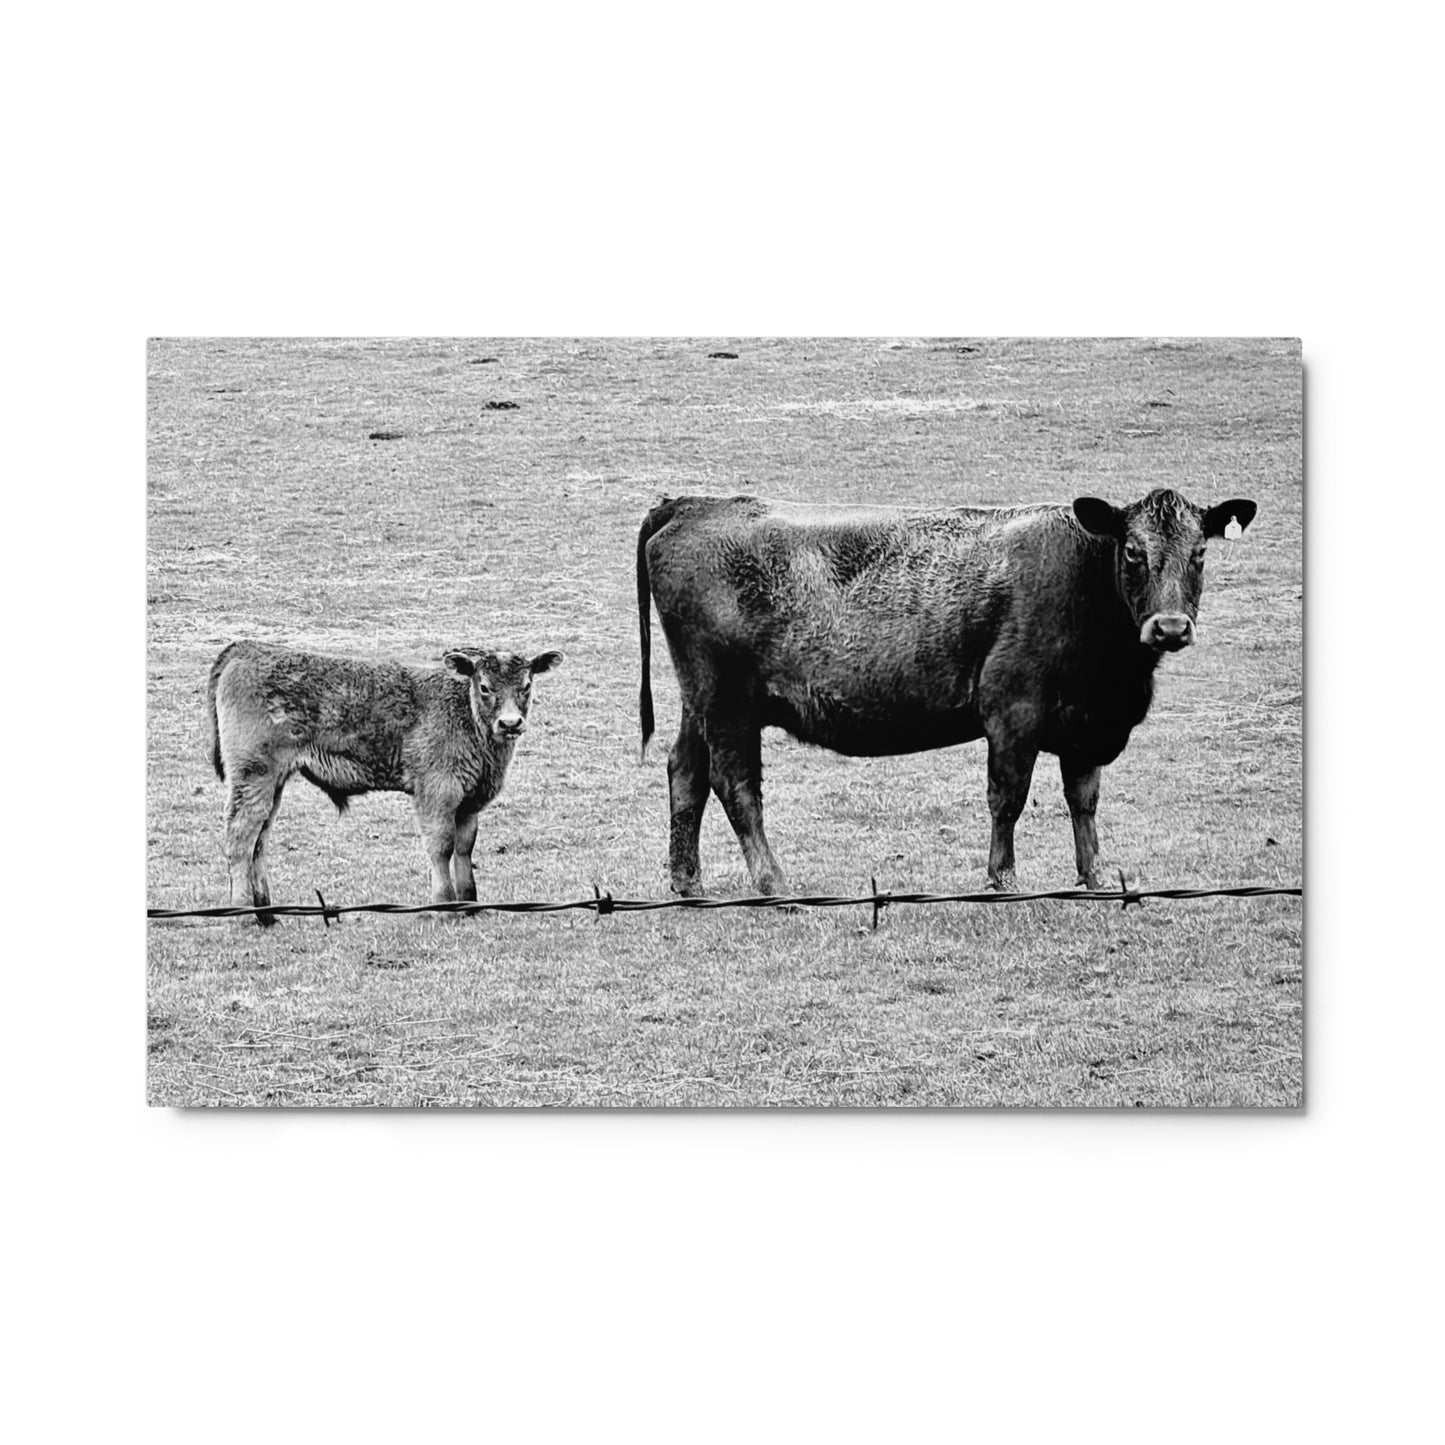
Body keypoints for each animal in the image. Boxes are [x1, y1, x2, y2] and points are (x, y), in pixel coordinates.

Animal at [207, 641, 563, 923]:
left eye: (526, 685)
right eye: (485, 686)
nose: (510, 723)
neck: (466, 715)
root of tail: (248, 648)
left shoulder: (469, 801)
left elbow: (464, 847)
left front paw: (470, 904)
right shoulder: (437, 792)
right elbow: (441, 846)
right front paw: (444, 906)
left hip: (272, 782)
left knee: (260, 839)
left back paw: (266, 912)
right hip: (254, 774)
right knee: (241, 836)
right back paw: (244, 913)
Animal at [636, 488, 1256, 897]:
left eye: (1200, 552)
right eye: (1132, 551)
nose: (1170, 628)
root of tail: (693, 503)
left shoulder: (1085, 727)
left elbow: (1083, 800)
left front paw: (1095, 877)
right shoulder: (1012, 710)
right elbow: (1007, 797)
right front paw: (1003, 877)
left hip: (701, 703)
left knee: (685, 773)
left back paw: (687, 882)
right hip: (728, 703)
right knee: (735, 785)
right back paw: (774, 882)